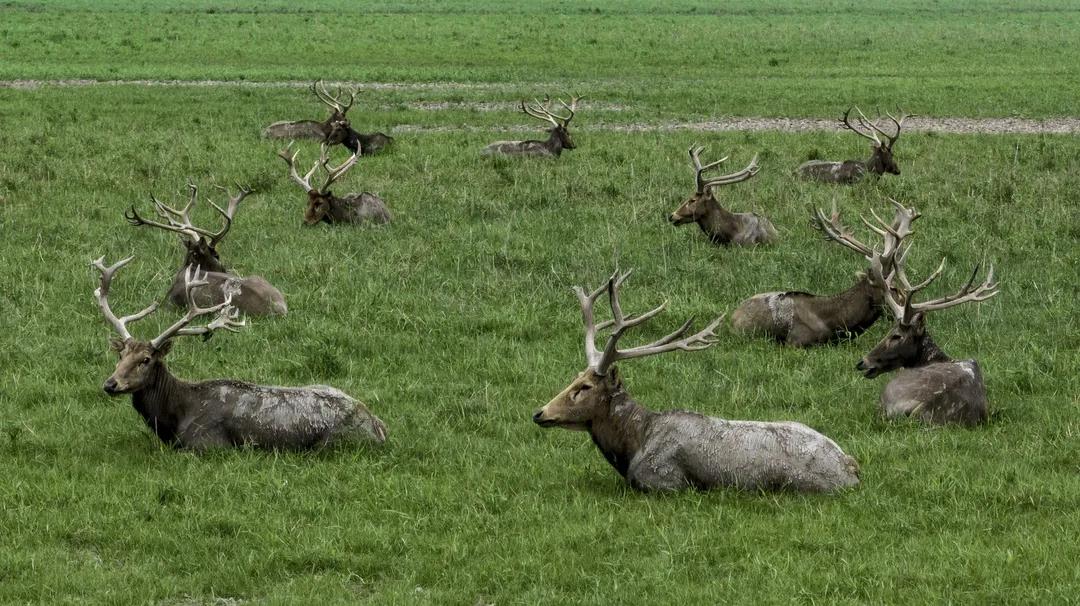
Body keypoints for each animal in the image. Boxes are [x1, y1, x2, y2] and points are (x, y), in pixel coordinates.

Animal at [93, 256, 388, 451]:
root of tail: (378, 427)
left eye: (146, 360)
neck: (174, 419)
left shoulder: (207, 445)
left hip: (332, 445)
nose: (110, 383)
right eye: (120, 357)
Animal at [532, 270, 860, 493]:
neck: (632, 446)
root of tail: (851, 467)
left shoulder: (663, 482)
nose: (540, 412)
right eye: (575, 377)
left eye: (585, 387)